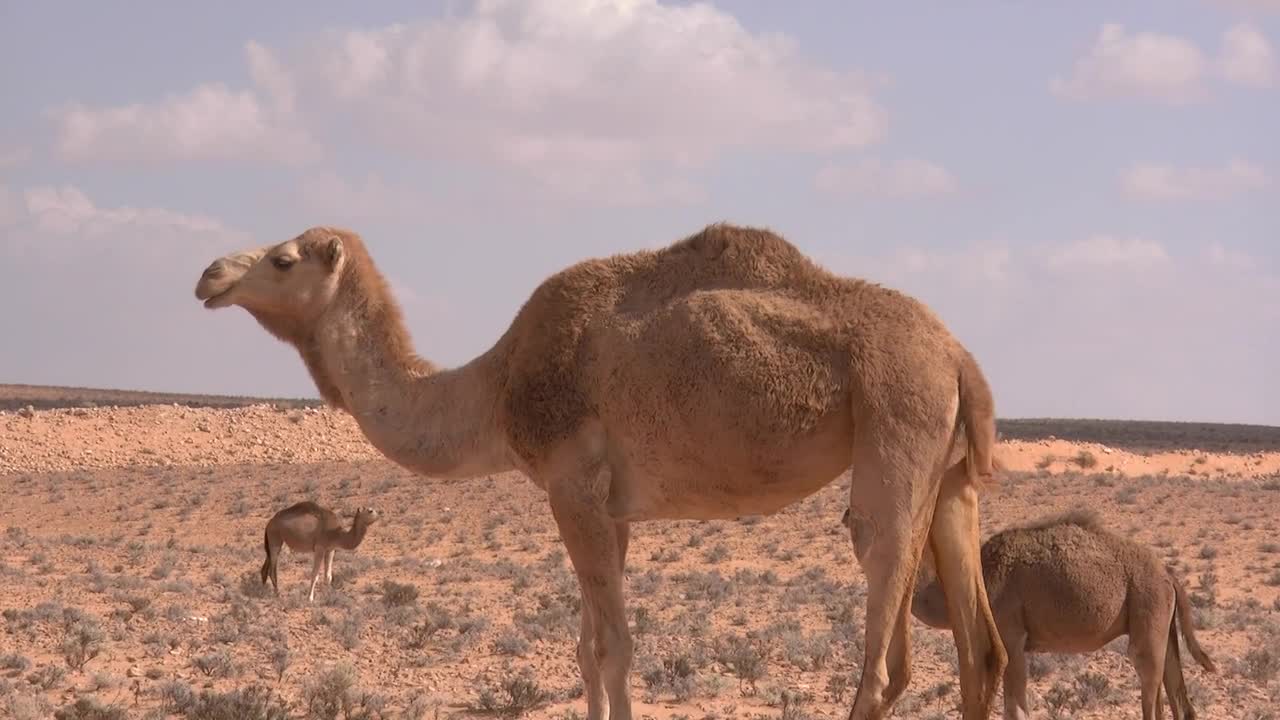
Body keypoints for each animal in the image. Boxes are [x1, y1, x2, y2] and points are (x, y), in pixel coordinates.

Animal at [189, 221, 1008, 712]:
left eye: (282, 258)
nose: (208, 275)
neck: (494, 387)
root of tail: (957, 354)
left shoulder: (571, 486)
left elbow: (613, 647)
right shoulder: (608, 508)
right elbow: (588, 650)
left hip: (895, 423)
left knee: (886, 646)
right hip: (950, 473)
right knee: (983, 650)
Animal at [844, 504, 1213, 717]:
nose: (847, 514)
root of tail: (1168, 574)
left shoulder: (1011, 634)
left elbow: (1015, 707)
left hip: (1147, 612)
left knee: (1150, 686)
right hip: (1163, 625)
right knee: (1179, 695)